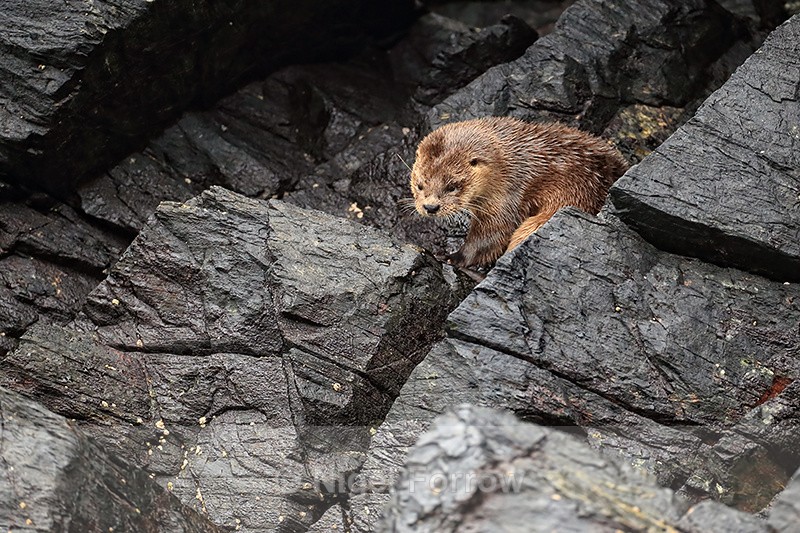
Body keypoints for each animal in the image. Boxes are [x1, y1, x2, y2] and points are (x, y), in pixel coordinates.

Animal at [409, 117, 628, 268]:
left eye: (452, 186)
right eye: (419, 185)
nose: (430, 207)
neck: (509, 164)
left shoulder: (508, 196)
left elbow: (492, 235)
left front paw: (452, 257)